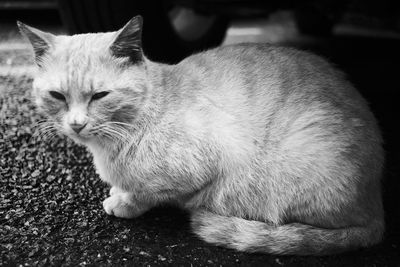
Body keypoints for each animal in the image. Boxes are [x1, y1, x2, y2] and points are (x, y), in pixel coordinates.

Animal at [18, 15, 384, 258]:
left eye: (99, 96)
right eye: (57, 96)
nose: (77, 124)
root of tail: (378, 208)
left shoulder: (198, 170)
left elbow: (149, 193)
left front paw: (124, 202)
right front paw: (119, 192)